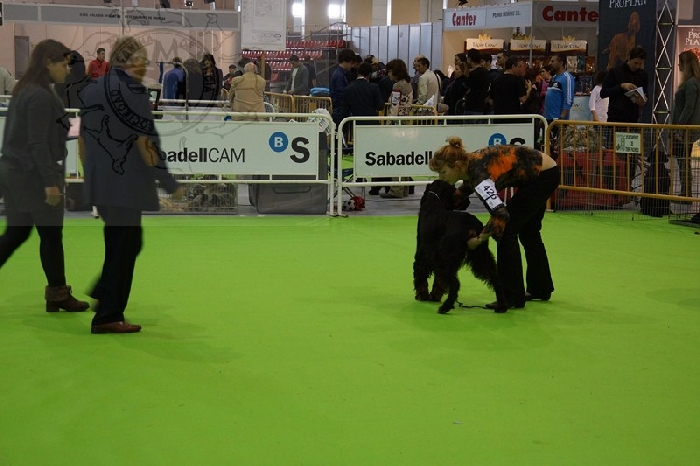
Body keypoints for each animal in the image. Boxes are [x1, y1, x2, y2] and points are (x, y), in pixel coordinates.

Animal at [413, 180, 508, 314]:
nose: (468, 201)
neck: (434, 203)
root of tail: (471, 223)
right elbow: (438, 281)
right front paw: (434, 296)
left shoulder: (423, 254)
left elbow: (421, 275)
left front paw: (422, 295)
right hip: (481, 255)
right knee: (496, 279)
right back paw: (501, 306)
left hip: (444, 258)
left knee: (455, 284)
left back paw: (445, 307)